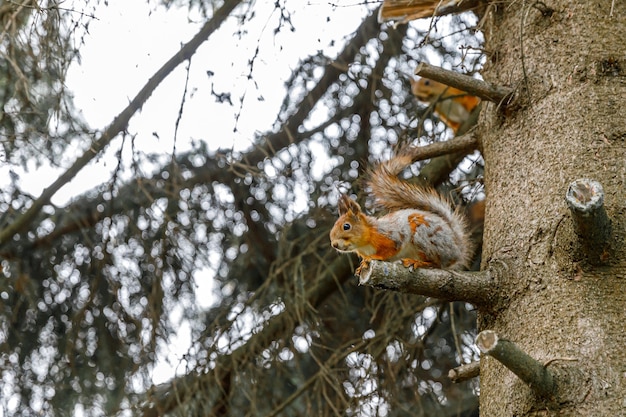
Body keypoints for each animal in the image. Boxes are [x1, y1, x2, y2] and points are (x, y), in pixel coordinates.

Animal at [330, 151, 470, 274]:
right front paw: (362, 266)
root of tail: (457, 251)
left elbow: (390, 250)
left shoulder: (391, 237)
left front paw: (373, 257)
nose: (334, 244)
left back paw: (417, 262)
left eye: (346, 226)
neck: (366, 240)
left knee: (437, 264)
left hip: (425, 235)